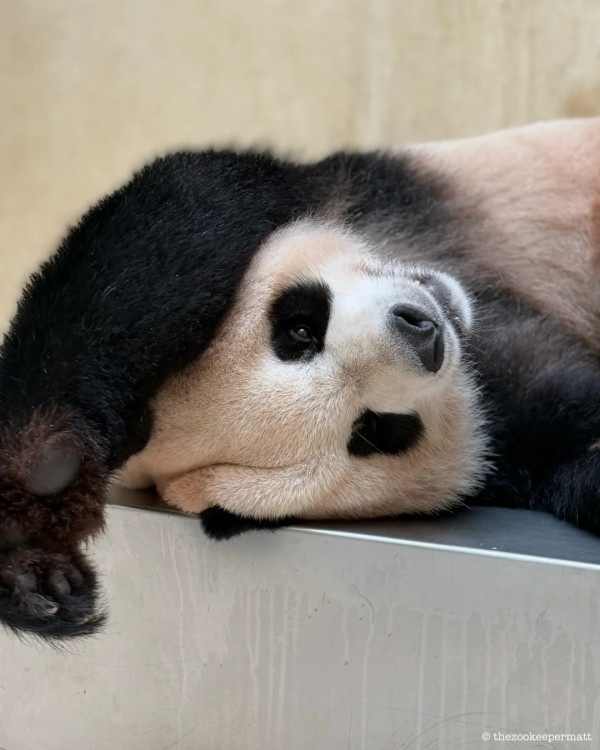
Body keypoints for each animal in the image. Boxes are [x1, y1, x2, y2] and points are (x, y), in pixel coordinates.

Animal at [1, 117, 600, 640]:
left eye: (299, 329)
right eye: (376, 430)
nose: (424, 334)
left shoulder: (346, 192)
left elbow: (177, 219)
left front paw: (34, 509)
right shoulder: (511, 427)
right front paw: (35, 572)